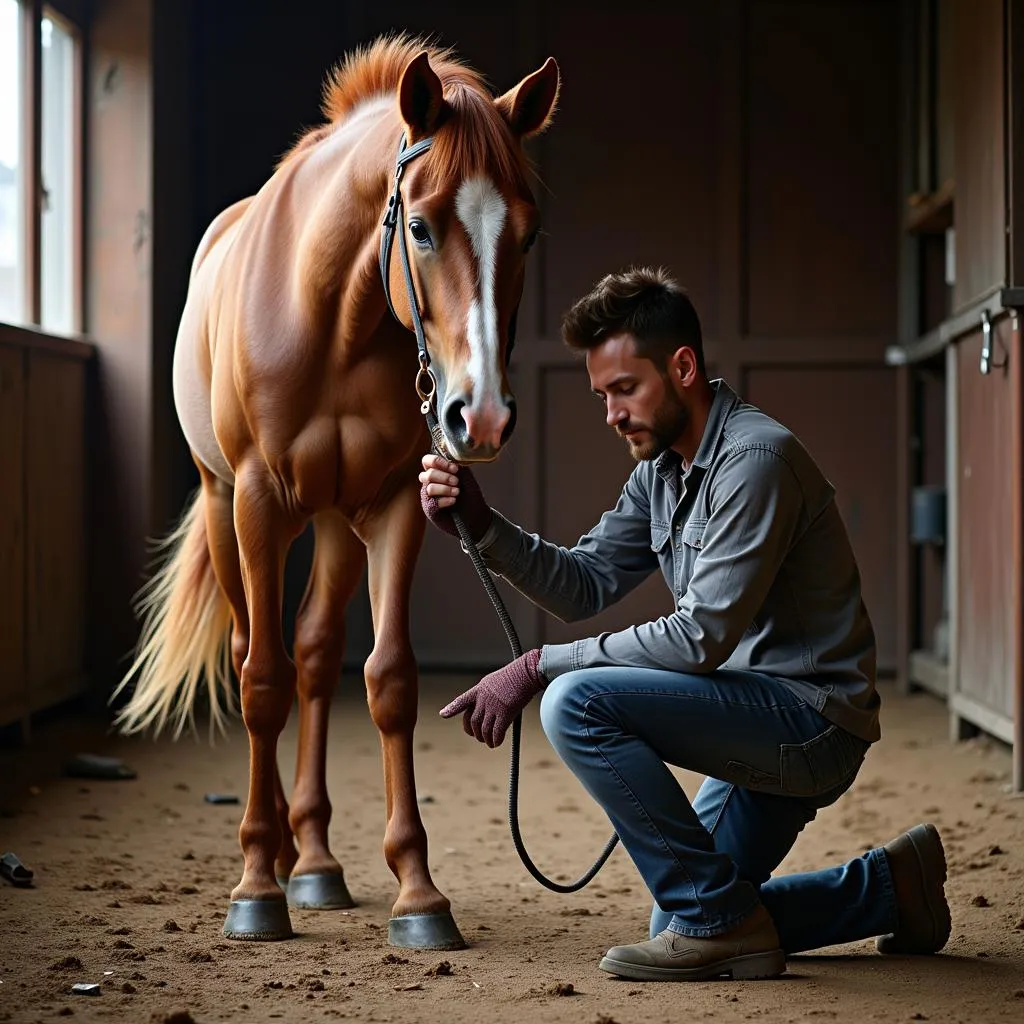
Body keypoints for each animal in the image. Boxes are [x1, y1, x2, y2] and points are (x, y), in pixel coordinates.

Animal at [112, 37, 561, 950]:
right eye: (419, 226)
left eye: (528, 232)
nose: (481, 416)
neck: (332, 320)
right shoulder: (256, 503)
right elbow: (261, 682)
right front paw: (255, 885)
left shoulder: (391, 508)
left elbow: (386, 680)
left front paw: (419, 892)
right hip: (224, 507)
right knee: (254, 654)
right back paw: (279, 851)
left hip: (332, 523)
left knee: (318, 658)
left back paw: (314, 859)